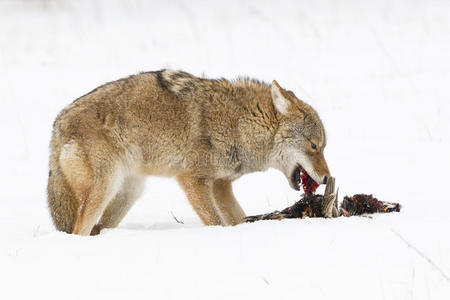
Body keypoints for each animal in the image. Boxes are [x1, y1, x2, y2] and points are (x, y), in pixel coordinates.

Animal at [48, 69, 330, 236]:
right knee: (79, 230)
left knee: (97, 228)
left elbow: (237, 219)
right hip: (104, 188)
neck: (239, 123)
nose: (328, 178)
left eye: (323, 147)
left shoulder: (221, 185)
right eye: (314, 146)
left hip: (128, 193)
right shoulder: (192, 180)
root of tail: (58, 123)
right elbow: (215, 221)